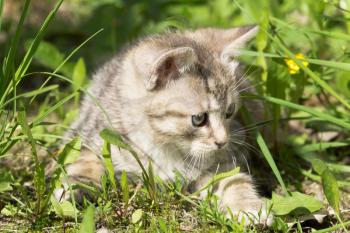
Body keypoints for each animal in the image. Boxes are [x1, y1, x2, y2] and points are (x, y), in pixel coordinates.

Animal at [56, 25, 274, 226]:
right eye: (199, 119)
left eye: (229, 111)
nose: (222, 142)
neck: (165, 145)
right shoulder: (90, 135)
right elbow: (85, 162)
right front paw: (74, 188)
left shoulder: (226, 157)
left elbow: (233, 180)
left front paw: (248, 206)